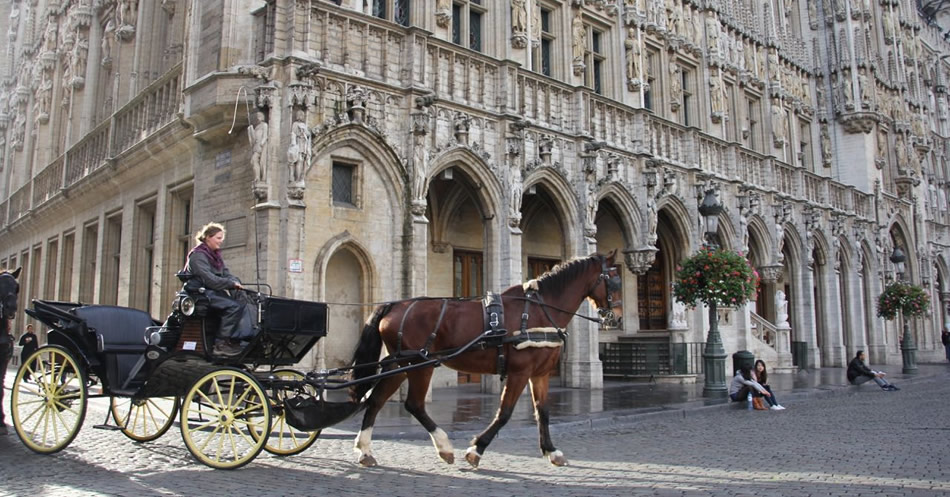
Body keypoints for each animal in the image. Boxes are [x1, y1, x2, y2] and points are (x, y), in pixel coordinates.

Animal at [350, 250, 624, 466]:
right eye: (615, 280)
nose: (618, 318)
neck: (539, 310)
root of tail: (394, 305)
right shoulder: (519, 372)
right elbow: (504, 412)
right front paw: (476, 449)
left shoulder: (540, 373)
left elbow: (543, 411)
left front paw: (551, 450)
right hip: (420, 365)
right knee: (414, 404)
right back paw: (444, 446)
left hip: (401, 363)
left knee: (376, 400)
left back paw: (365, 450)